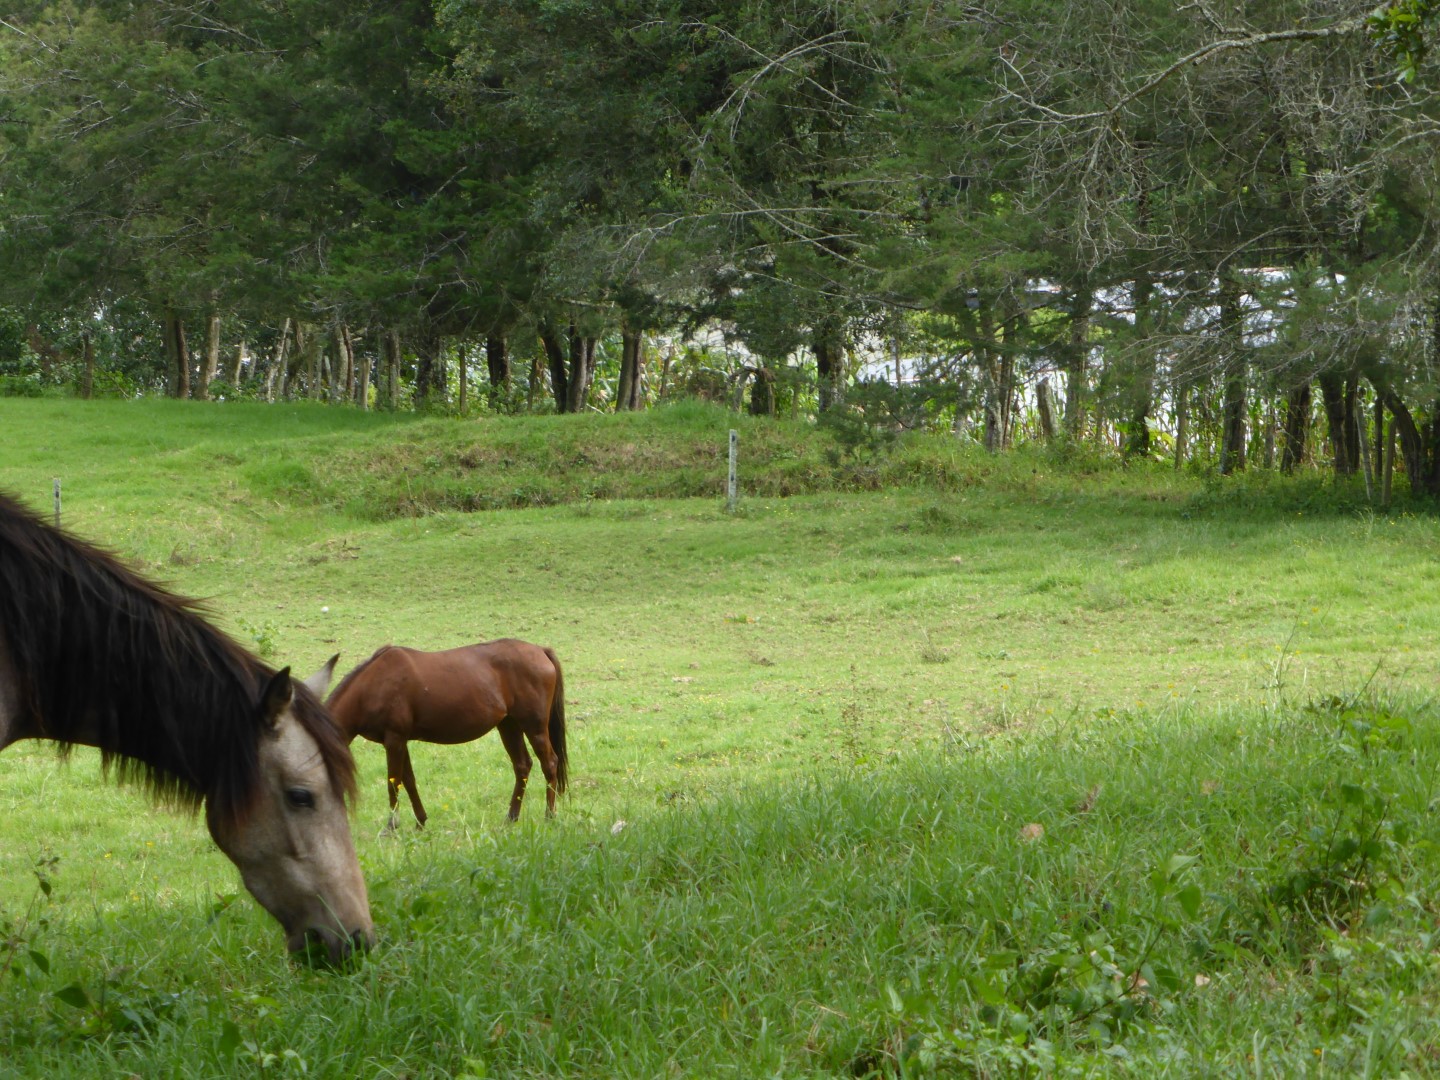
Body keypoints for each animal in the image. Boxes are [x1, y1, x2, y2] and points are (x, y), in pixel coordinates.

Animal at [329, 642, 570, 829]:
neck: (372, 686)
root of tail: (540, 650)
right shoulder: (400, 741)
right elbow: (409, 780)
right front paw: (420, 821)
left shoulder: (394, 739)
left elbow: (394, 781)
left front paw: (391, 826)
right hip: (509, 726)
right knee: (522, 766)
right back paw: (511, 818)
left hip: (534, 726)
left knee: (549, 763)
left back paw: (549, 816)